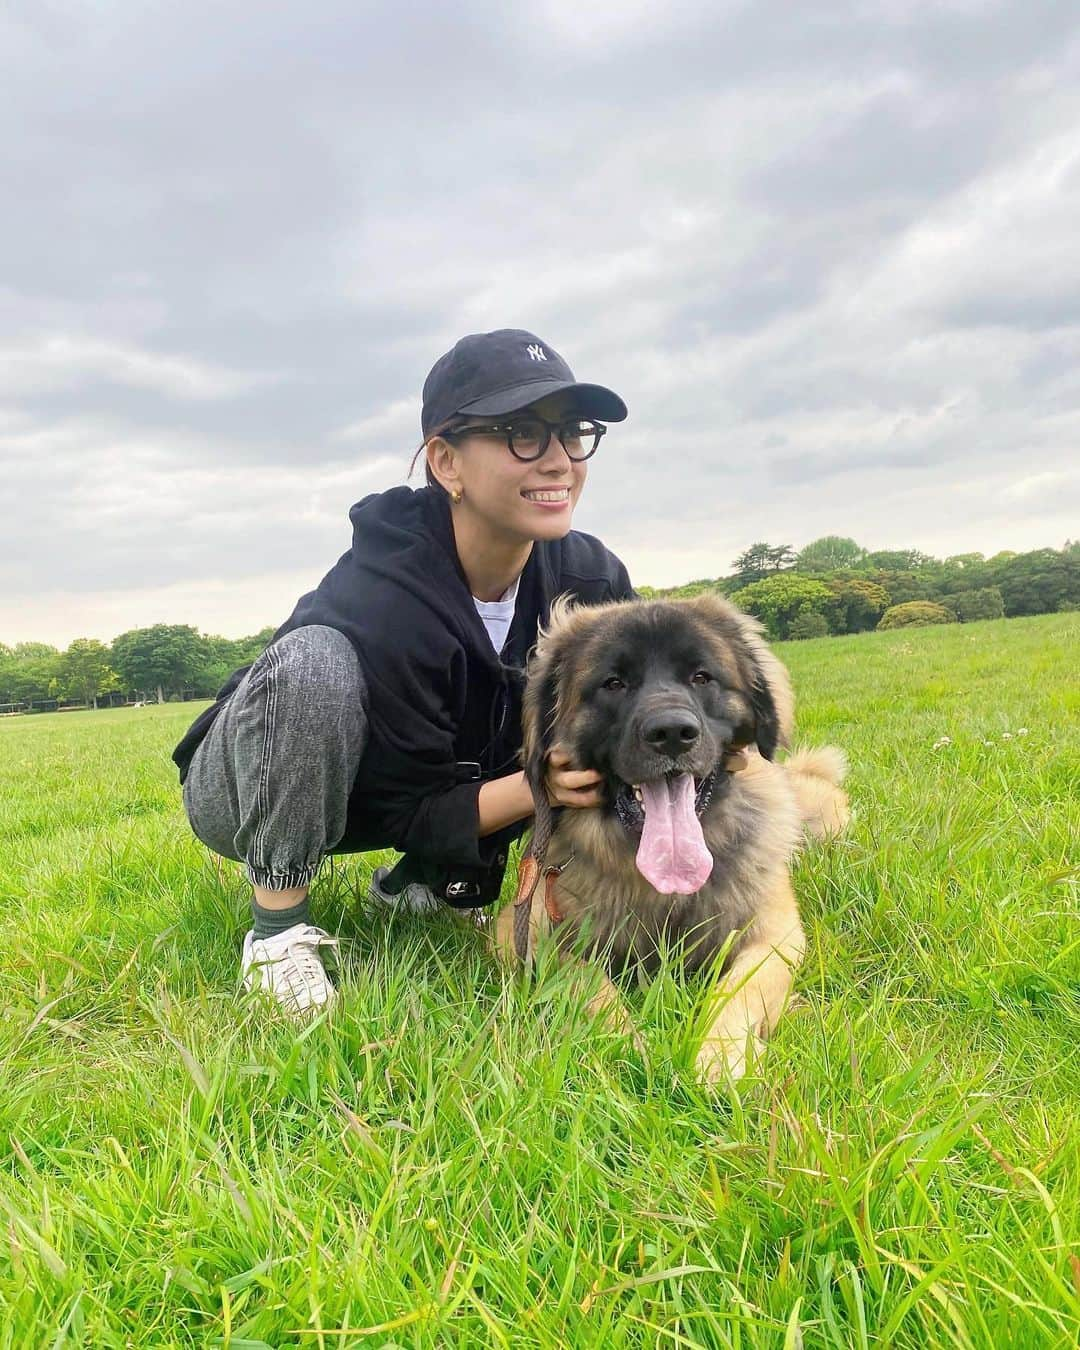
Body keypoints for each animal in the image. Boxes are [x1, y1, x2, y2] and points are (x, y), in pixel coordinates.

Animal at [494, 596, 847, 1080]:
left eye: (701, 677)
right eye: (614, 684)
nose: (672, 734)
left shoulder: (775, 936)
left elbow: (738, 990)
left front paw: (719, 1055)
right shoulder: (524, 933)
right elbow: (588, 983)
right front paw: (627, 1045)